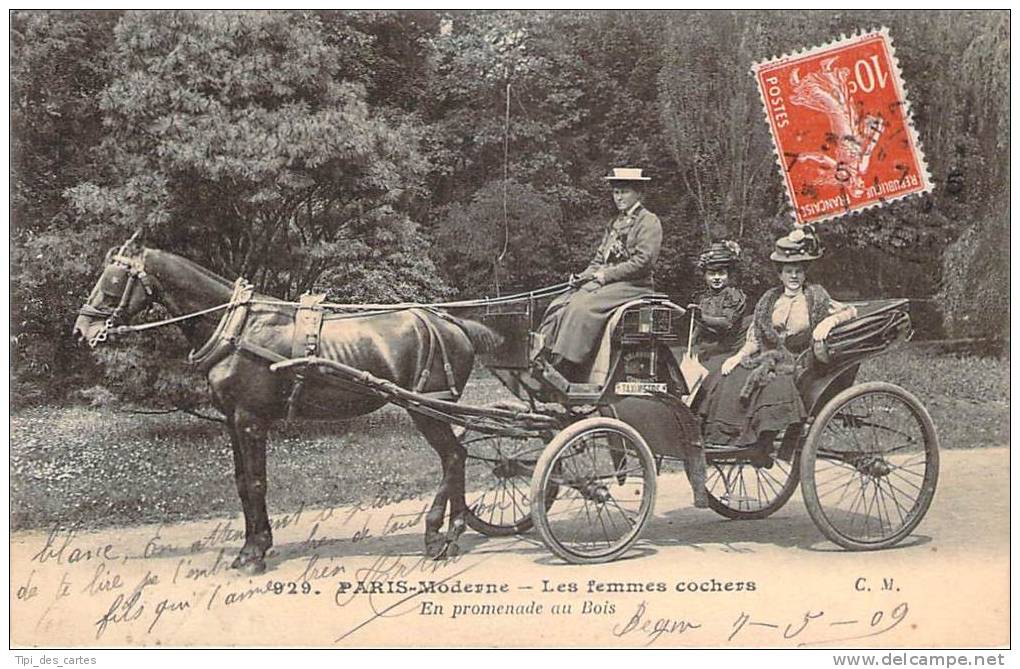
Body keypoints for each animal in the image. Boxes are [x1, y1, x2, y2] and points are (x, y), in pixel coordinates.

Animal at [72, 241, 501, 575]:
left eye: (113, 280)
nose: (82, 330)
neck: (239, 328)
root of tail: (453, 325)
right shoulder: (232, 421)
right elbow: (242, 483)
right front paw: (251, 547)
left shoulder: (251, 420)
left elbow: (257, 483)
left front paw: (255, 554)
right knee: (457, 456)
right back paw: (455, 530)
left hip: (427, 409)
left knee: (453, 457)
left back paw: (437, 536)